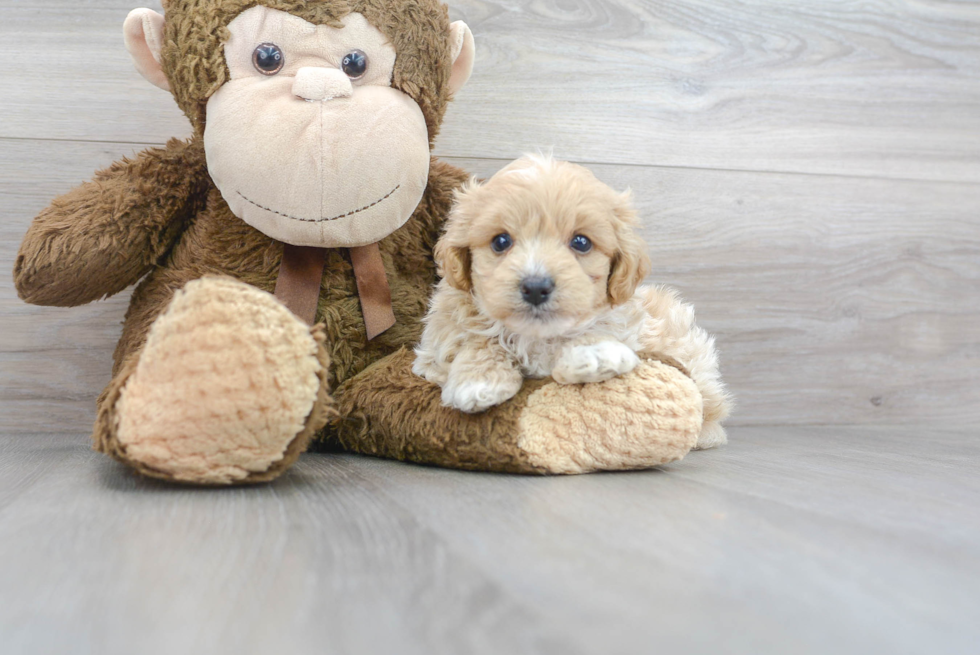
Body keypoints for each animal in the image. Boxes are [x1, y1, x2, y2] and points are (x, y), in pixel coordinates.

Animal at [410, 155, 732, 452]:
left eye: (581, 242)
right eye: (500, 241)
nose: (536, 287)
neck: (536, 336)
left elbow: (597, 331)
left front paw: (593, 353)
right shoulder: (436, 347)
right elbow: (477, 339)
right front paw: (478, 380)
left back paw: (707, 435)